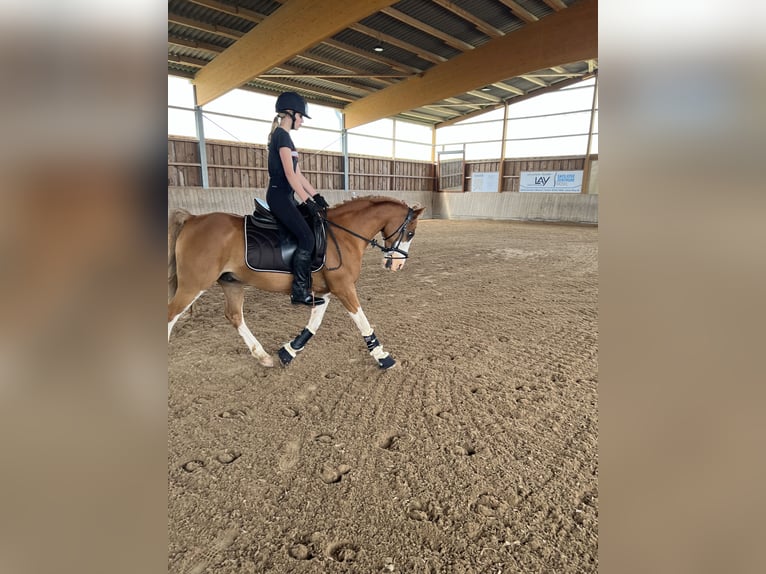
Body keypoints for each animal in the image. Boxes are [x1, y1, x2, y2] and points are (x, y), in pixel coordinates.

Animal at [167, 196, 426, 372]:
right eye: (411, 233)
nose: (397, 265)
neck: (343, 235)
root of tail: (192, 219)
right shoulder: (343, 288)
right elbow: (363, 321)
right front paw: (384, 357)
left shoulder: (324, 291)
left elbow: (314, 324)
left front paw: (288, 352)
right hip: (194, 284)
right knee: (170, 315)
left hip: (232, 283)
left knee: (234, 316)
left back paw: (262, 356)